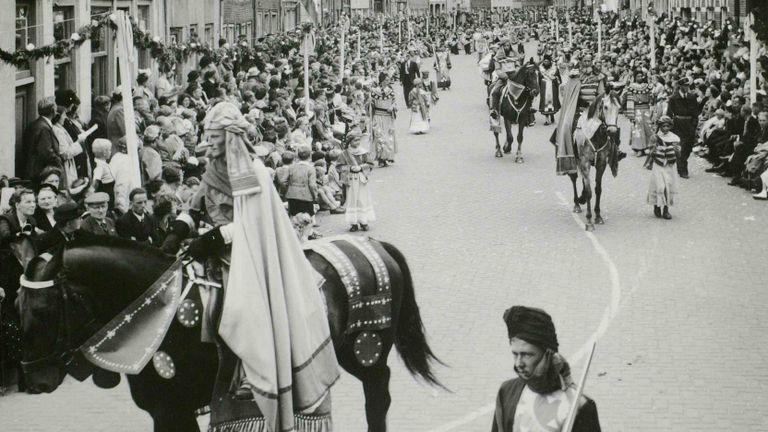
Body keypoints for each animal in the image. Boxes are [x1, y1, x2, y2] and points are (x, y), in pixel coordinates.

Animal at [18, 236, 444, 432]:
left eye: (44, 310)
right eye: (16, 308)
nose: (35, 380)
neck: (159, 313)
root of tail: (371, 242)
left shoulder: (175, 408)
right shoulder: (164, 411)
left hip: (365, 349)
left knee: (379, 395)